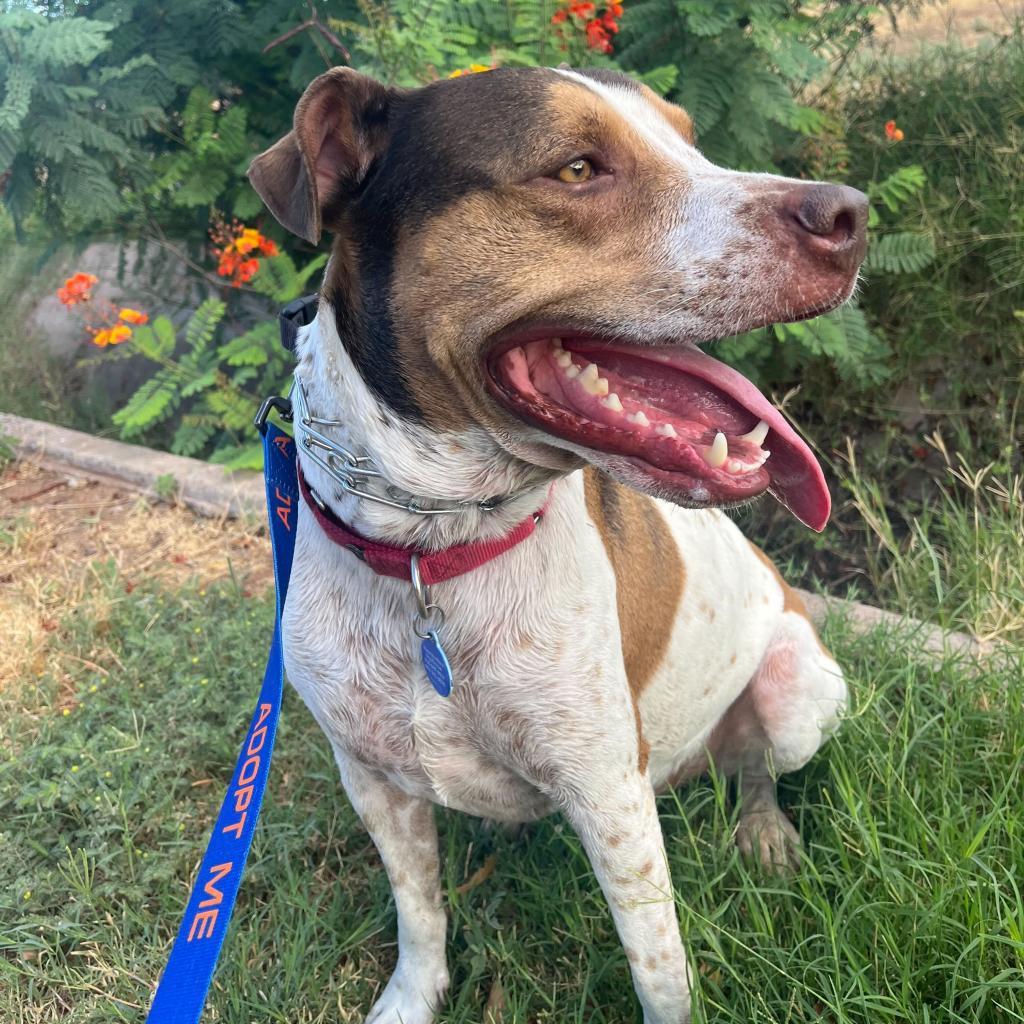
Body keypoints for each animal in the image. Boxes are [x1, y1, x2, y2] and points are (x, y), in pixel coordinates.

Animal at [247, 66, 864, 1024]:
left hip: (800, 689)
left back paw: (764, 834)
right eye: (576, 168)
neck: (431, 548)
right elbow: (418, 909)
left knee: (759, 764)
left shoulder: (609, 796)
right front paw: (414, 995)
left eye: (689, 140)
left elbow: (659, 968)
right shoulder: (374, 780)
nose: (851, 213)